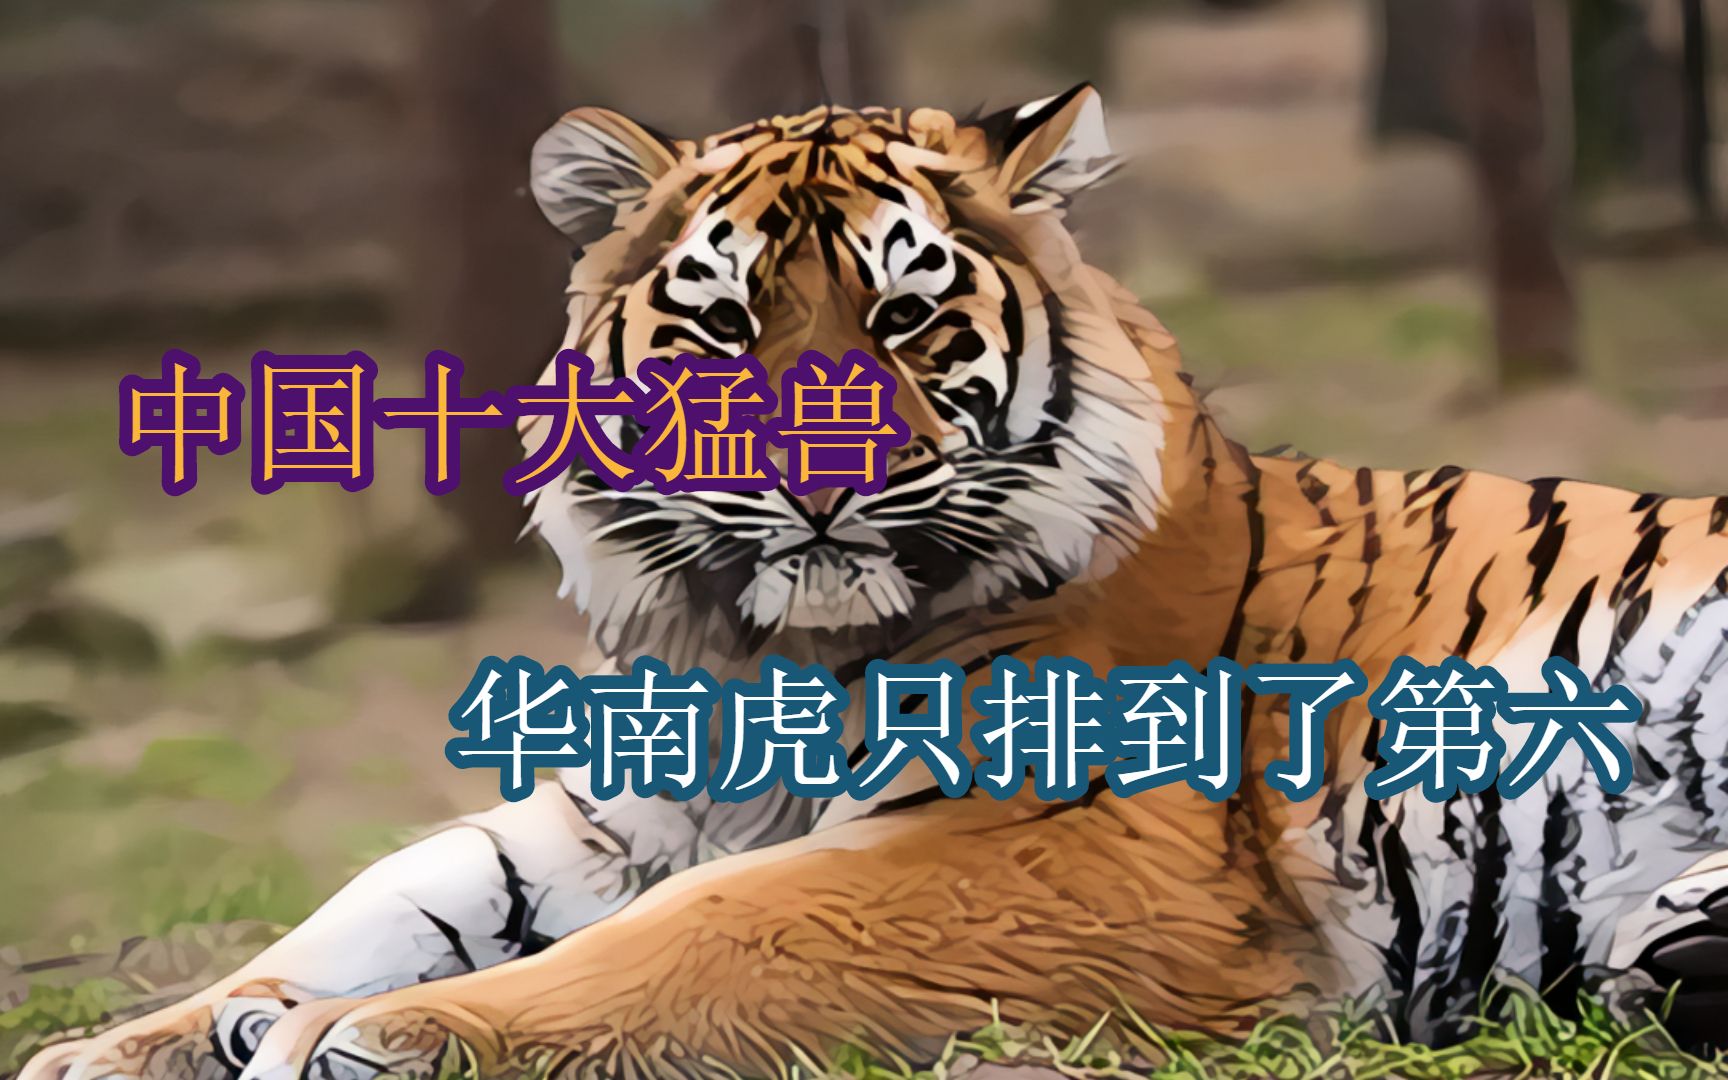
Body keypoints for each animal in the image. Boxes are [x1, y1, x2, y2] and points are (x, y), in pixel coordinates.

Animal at [23, 85, 1728, 1080]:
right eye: (721, 322)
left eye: (907, 313)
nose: (817, 475)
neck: (754, 649)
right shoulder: (610, 807)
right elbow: (381, 897)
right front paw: (139, 1043)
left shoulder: (1053, 842)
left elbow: (703, 932)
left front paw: (371, 1032)